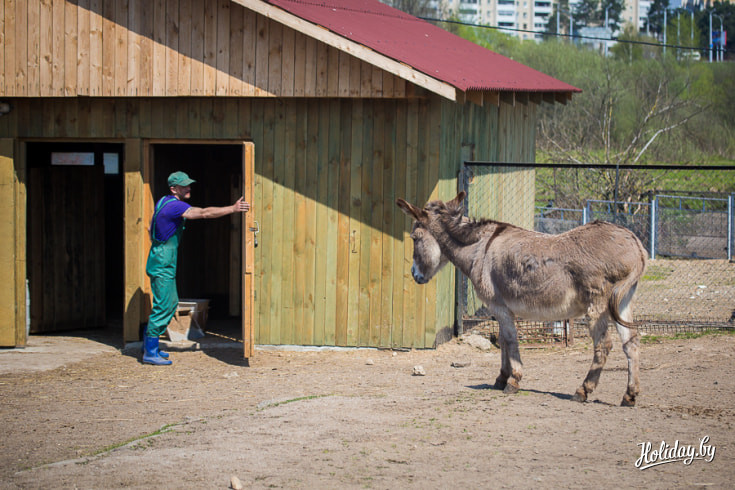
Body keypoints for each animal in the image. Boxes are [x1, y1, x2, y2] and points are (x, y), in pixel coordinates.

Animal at [396, 192, 647, 407]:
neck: (478, 249)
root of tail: (634, 242)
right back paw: (630, 395)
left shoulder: (499, 306)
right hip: (622, 302)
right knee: (631, 343)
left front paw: (513, 381)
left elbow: (510, 340)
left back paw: (583, 390)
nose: (414, 275)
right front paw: (500, 378)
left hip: (596, 305)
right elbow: (503, 341)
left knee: (603, 345)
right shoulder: (500, 308)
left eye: (414, 238)